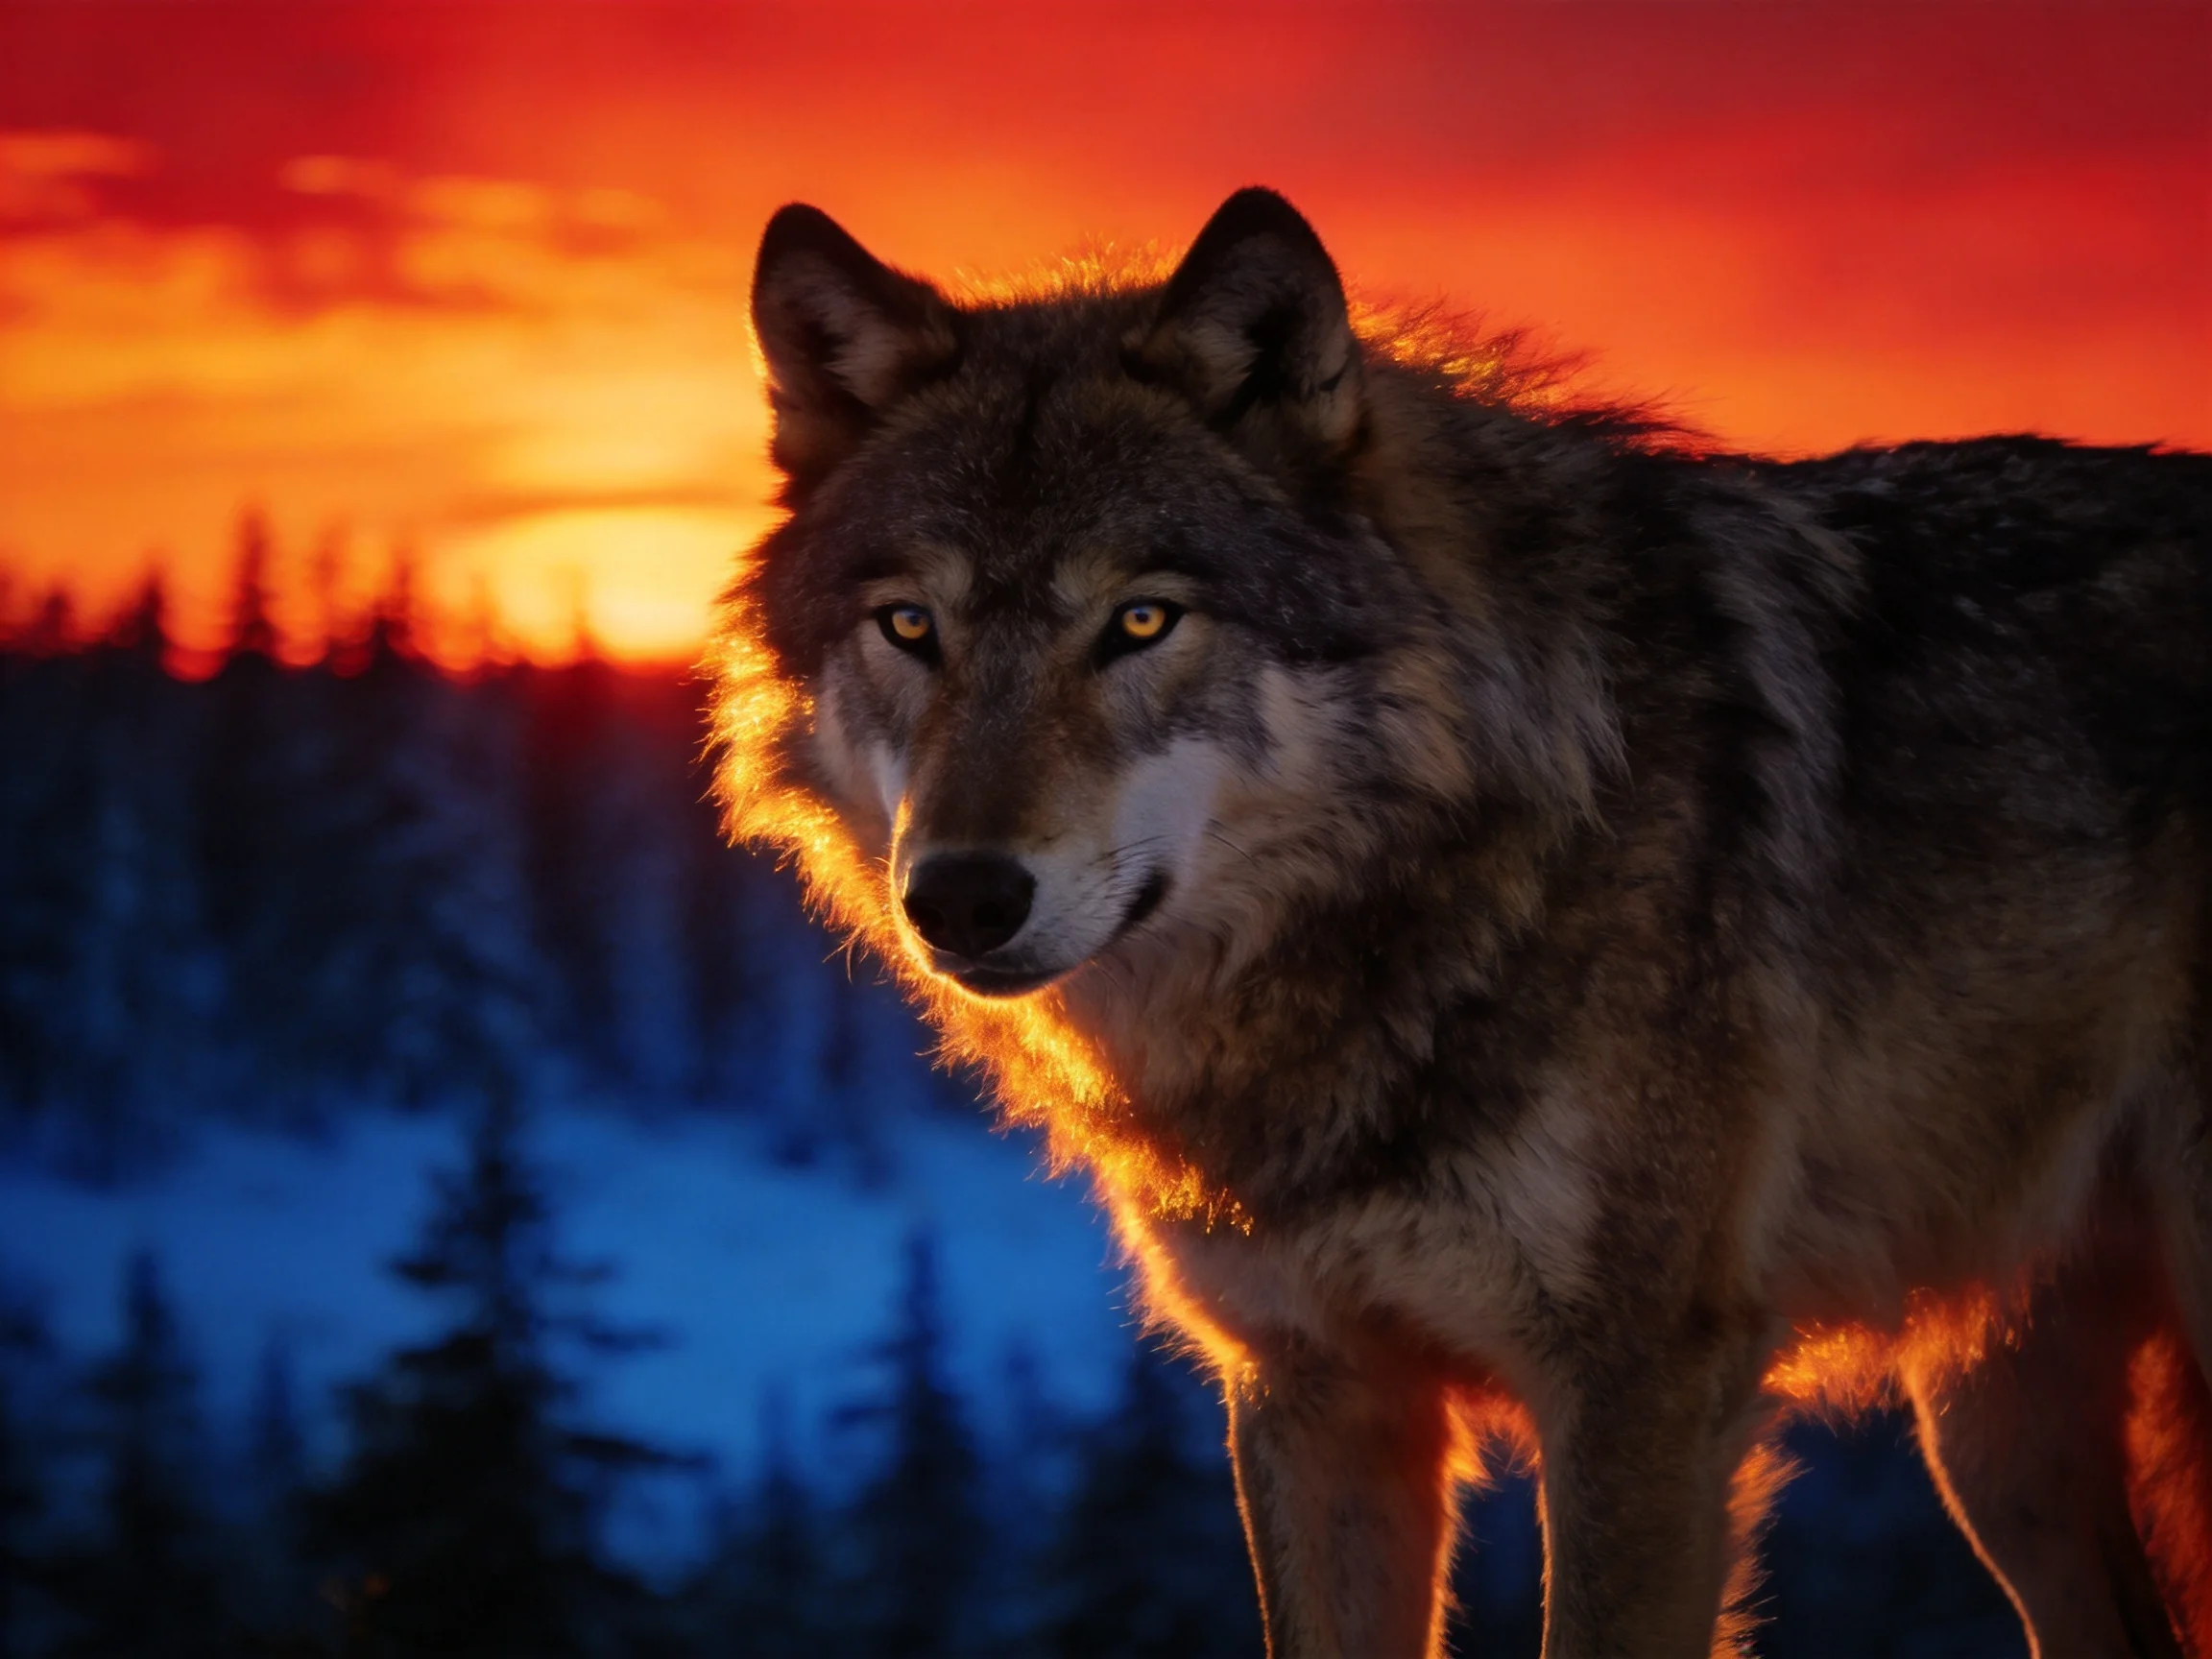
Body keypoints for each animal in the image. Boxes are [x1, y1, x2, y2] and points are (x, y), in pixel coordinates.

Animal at [708, 186, 2212, 1657]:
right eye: (913, 626)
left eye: (1141, 621)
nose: (961, 894)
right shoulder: (1314, 1390)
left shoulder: (1639, 1392)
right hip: (1999, 1441)